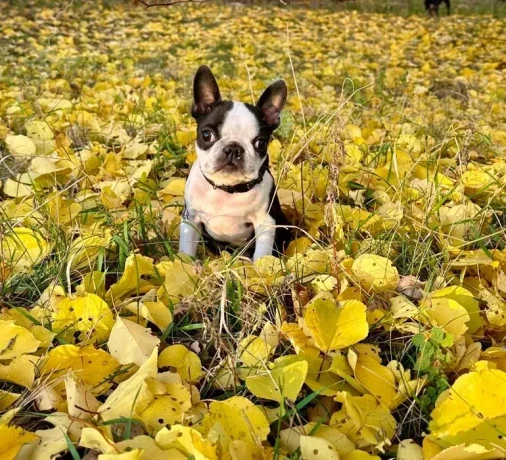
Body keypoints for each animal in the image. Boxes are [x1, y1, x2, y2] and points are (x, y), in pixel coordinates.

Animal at [179, 63, 290, 262]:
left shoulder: (265, 223)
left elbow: (261, 256)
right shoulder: (190, 218)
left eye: (261, 143)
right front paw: (187, 266)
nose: (233, 148)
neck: (227, 189)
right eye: (206, 135)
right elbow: (186, 251)